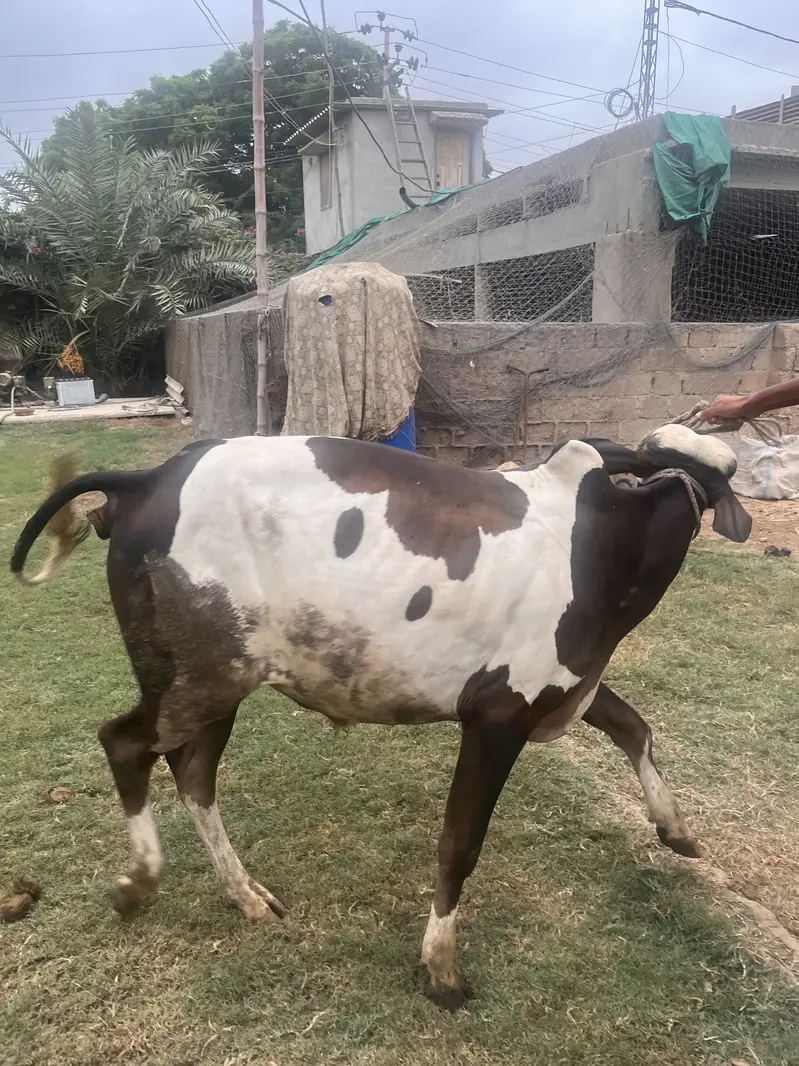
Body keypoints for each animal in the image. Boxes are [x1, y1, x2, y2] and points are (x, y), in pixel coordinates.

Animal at [10, 426, 751, 1010]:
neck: (598, 545)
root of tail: (150, 478)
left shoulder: (567, 683)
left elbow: (634, 727)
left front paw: (675, 827)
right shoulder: (499, 714)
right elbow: (459, 843)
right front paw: (441, 965)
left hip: (217, 682)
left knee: (192, 775)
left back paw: (242, 892)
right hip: (200, 677)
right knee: (125, 743)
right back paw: (139, 881)